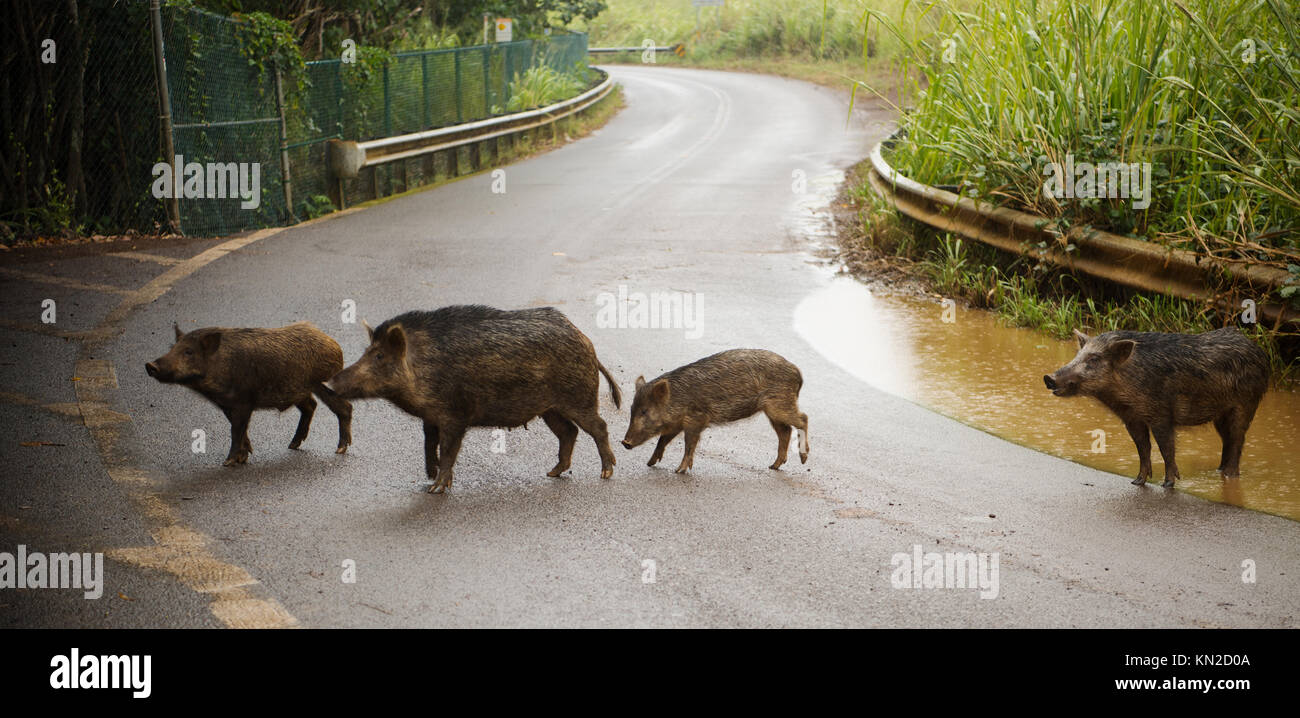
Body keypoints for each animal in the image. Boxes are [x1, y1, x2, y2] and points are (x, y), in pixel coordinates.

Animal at [146, 319, 353, 465]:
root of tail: (334, 344)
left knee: (345, 407)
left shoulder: (243, 401)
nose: (150, 365)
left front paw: (228, 462)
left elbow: (236, 429)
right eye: (172, 348)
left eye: (188, 351)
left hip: (323, 383)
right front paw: (243, 458)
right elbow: (239, 428)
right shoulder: (227, 404)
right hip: (298, 390)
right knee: (310, 406)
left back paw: (340, 449)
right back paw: (292, 445)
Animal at [330, 303, 624, 494]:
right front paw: (430, 476)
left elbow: (448, 449)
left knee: (599, 426)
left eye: (379, 356)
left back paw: (606, 473)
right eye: (367, 351)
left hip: (579, 397)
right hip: (549, 408)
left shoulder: (455, 415)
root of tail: (587, 341)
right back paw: (552, 473)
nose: (332, 381)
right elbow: (429, 442)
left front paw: (436, 489)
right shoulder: (431, 416)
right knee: (569, 432)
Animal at [621, 348, 811, 473]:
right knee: (785, 431)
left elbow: (689, 444)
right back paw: (773, 466)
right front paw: (650, 463)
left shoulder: (696, 420)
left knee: (803, 418)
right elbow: (662, 440)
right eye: (631, 410)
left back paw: (803, 459)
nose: (624, 442)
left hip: (779, 404)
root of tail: (799, 373)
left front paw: (679, 470)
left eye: (644, 411)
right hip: (772, 410)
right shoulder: (677, 423)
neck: (675, 399)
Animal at [1045, 326, 1268, 489]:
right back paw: (1220, 471)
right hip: (1220, 415)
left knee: (1238, 440)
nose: (1049, 377)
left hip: (1245, 405)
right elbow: (1143, 448)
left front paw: (1167, 484)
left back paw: (1230, 475)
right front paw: (1137, 482)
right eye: (1077, 355)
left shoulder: (1161, 414)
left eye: (1094, 359)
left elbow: (1166, 448)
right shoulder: (1132, 418)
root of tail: (1259, 353)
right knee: (1227, 441)